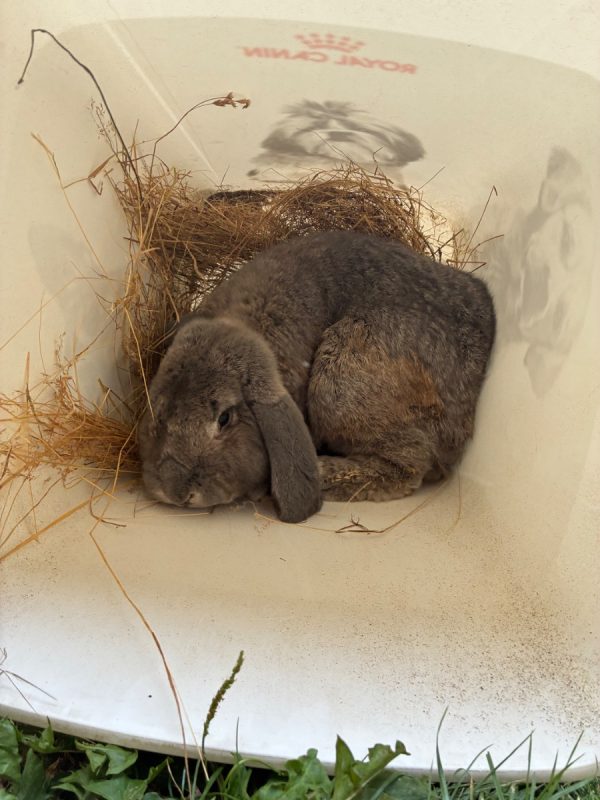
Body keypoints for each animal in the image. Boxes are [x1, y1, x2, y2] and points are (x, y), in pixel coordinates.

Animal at [137, 230, 496, 523]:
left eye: (224, 419)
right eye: (158, 413)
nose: (176, 491)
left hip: (338, 385)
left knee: (406, 467)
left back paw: (326, 472)